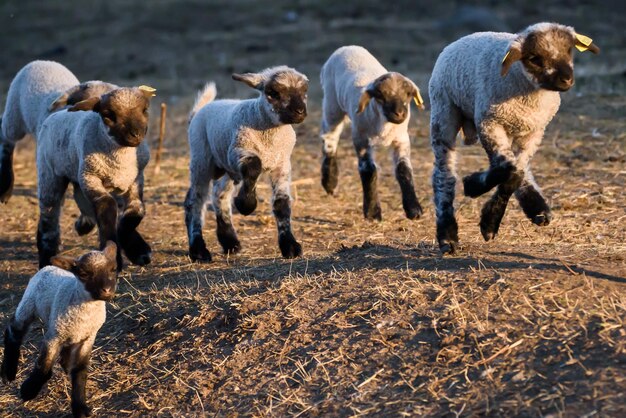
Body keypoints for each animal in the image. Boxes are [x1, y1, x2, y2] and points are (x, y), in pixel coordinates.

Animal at [0, 242, 118, 418]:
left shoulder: (88, 338)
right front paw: (28, 391)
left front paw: (81, 408)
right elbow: (44, 367)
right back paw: (8, 373)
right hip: (28, 305)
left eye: (113, 269)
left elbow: (80, 371)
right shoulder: (54, 335)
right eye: (84, 273)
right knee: (13, 332)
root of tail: (48, 267)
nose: (107, 290)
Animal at [35, 85, 156, 270]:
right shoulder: (91, 177)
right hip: (50, 174)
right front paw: (115, 257)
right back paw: (47, 259)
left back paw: (83, 226)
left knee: (81, 202)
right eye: (108, 114)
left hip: (76, 177)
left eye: (145, 110)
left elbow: (136, 212)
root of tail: (57, 114)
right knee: (49, 219)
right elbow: (107, 206)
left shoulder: (136, 179)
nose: (135, 134)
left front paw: (137, 250)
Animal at [183, 65, 308, 262]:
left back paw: (230, 242)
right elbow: (254, 167)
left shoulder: (281, 164)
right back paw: (199, 250)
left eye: (304, 91)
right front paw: (246, 204)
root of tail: (199, 112)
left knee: (219, 195)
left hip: (226, 168)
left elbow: (282, 203)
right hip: (201, 159)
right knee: (195, 201)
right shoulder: (238, 151)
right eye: (273, 92)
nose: (300, 111)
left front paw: (290, 246)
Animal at [316, 45, 424, 220]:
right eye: (380, 95)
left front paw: (413, 209)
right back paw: (330, 181)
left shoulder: (401, 139)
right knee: (329, 137)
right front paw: (373, 212)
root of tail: (346, 47)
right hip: (332, 105)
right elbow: (368, 170)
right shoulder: (361, 139)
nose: (400, 113)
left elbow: (404, 169)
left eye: (408, 94)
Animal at [426, 21, 596, 253]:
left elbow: (516, 172)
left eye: (569, 50)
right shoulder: (490, 123)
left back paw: (537, 209)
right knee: (444, 173)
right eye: (534, 58)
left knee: (516, 167)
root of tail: (458, 41)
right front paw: (477, 196)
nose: (566, 80)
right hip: (444, 110)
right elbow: (508, 169)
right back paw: (448, 236)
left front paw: (489, 216)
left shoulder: (535, 132)